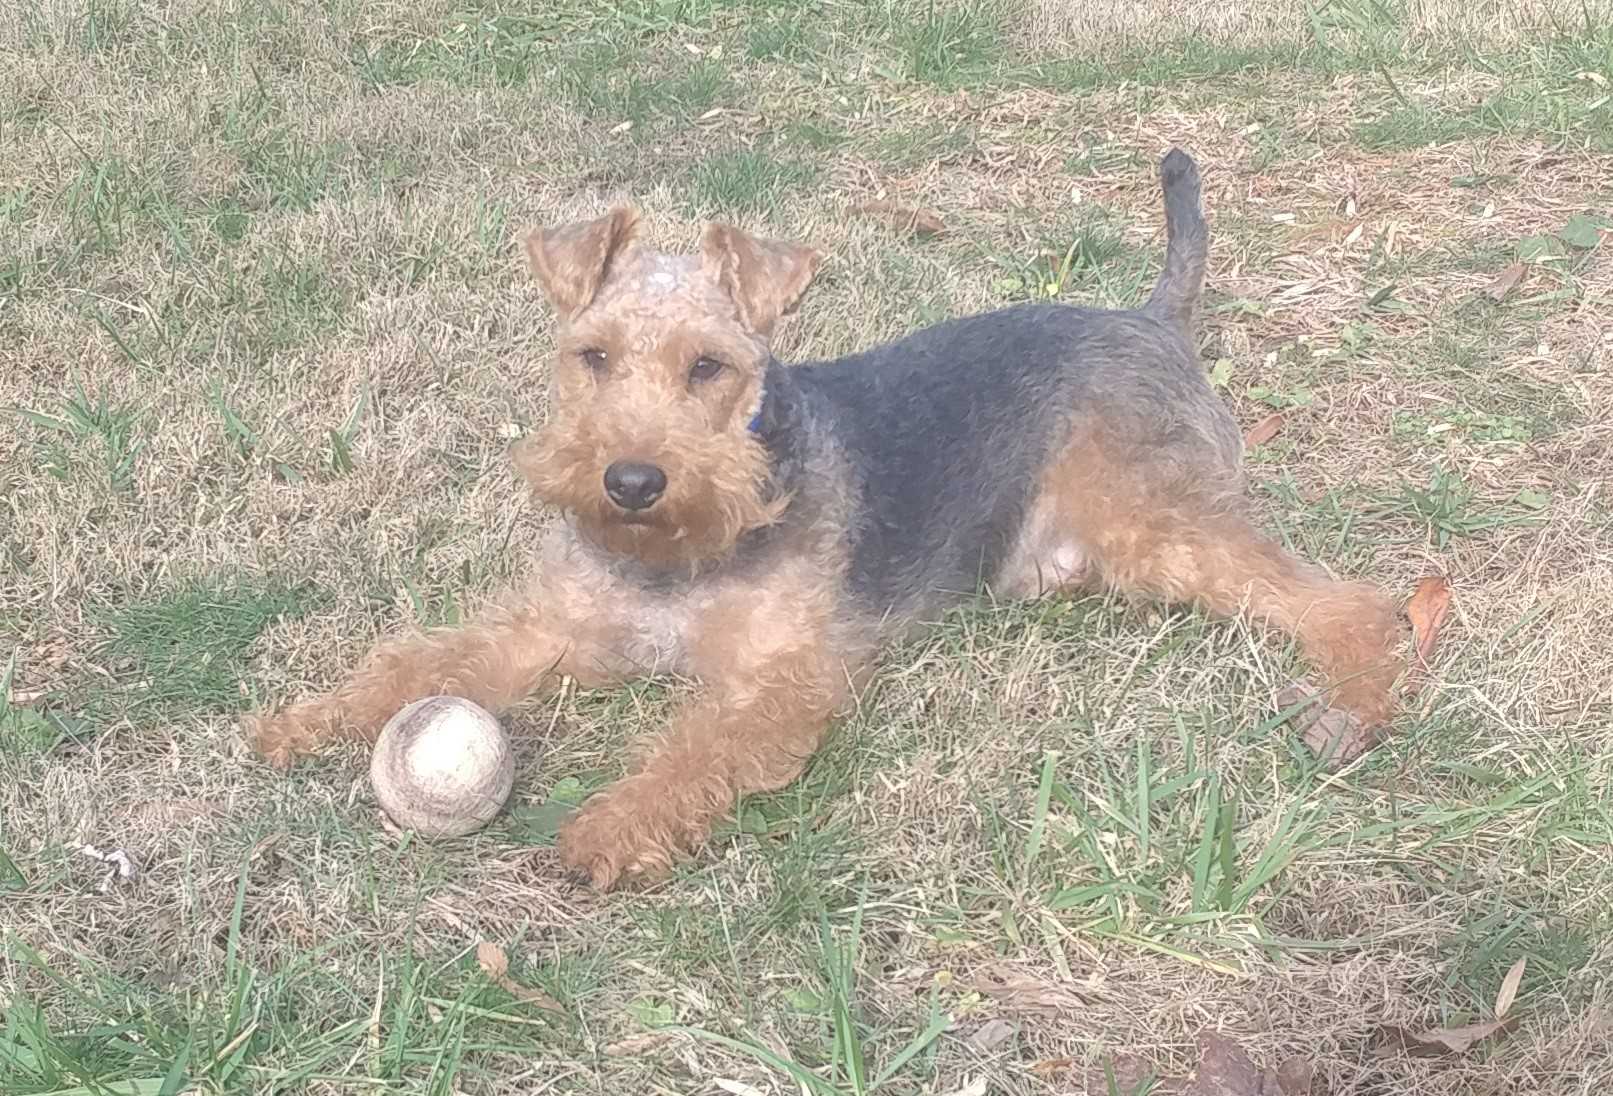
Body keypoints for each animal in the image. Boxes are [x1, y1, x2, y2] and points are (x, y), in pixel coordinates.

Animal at [248, 152, 1400, 891]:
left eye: (709, 367)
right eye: (592, 356)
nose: (630, 482)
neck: (678, 562)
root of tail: (1150, 318)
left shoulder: (780, 679)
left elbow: (692, 750)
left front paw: (607, 828)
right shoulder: (554, 630)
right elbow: (421, 662)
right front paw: (302, 721)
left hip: (1150, 520)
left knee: (1337, 597)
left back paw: (1351, 703)